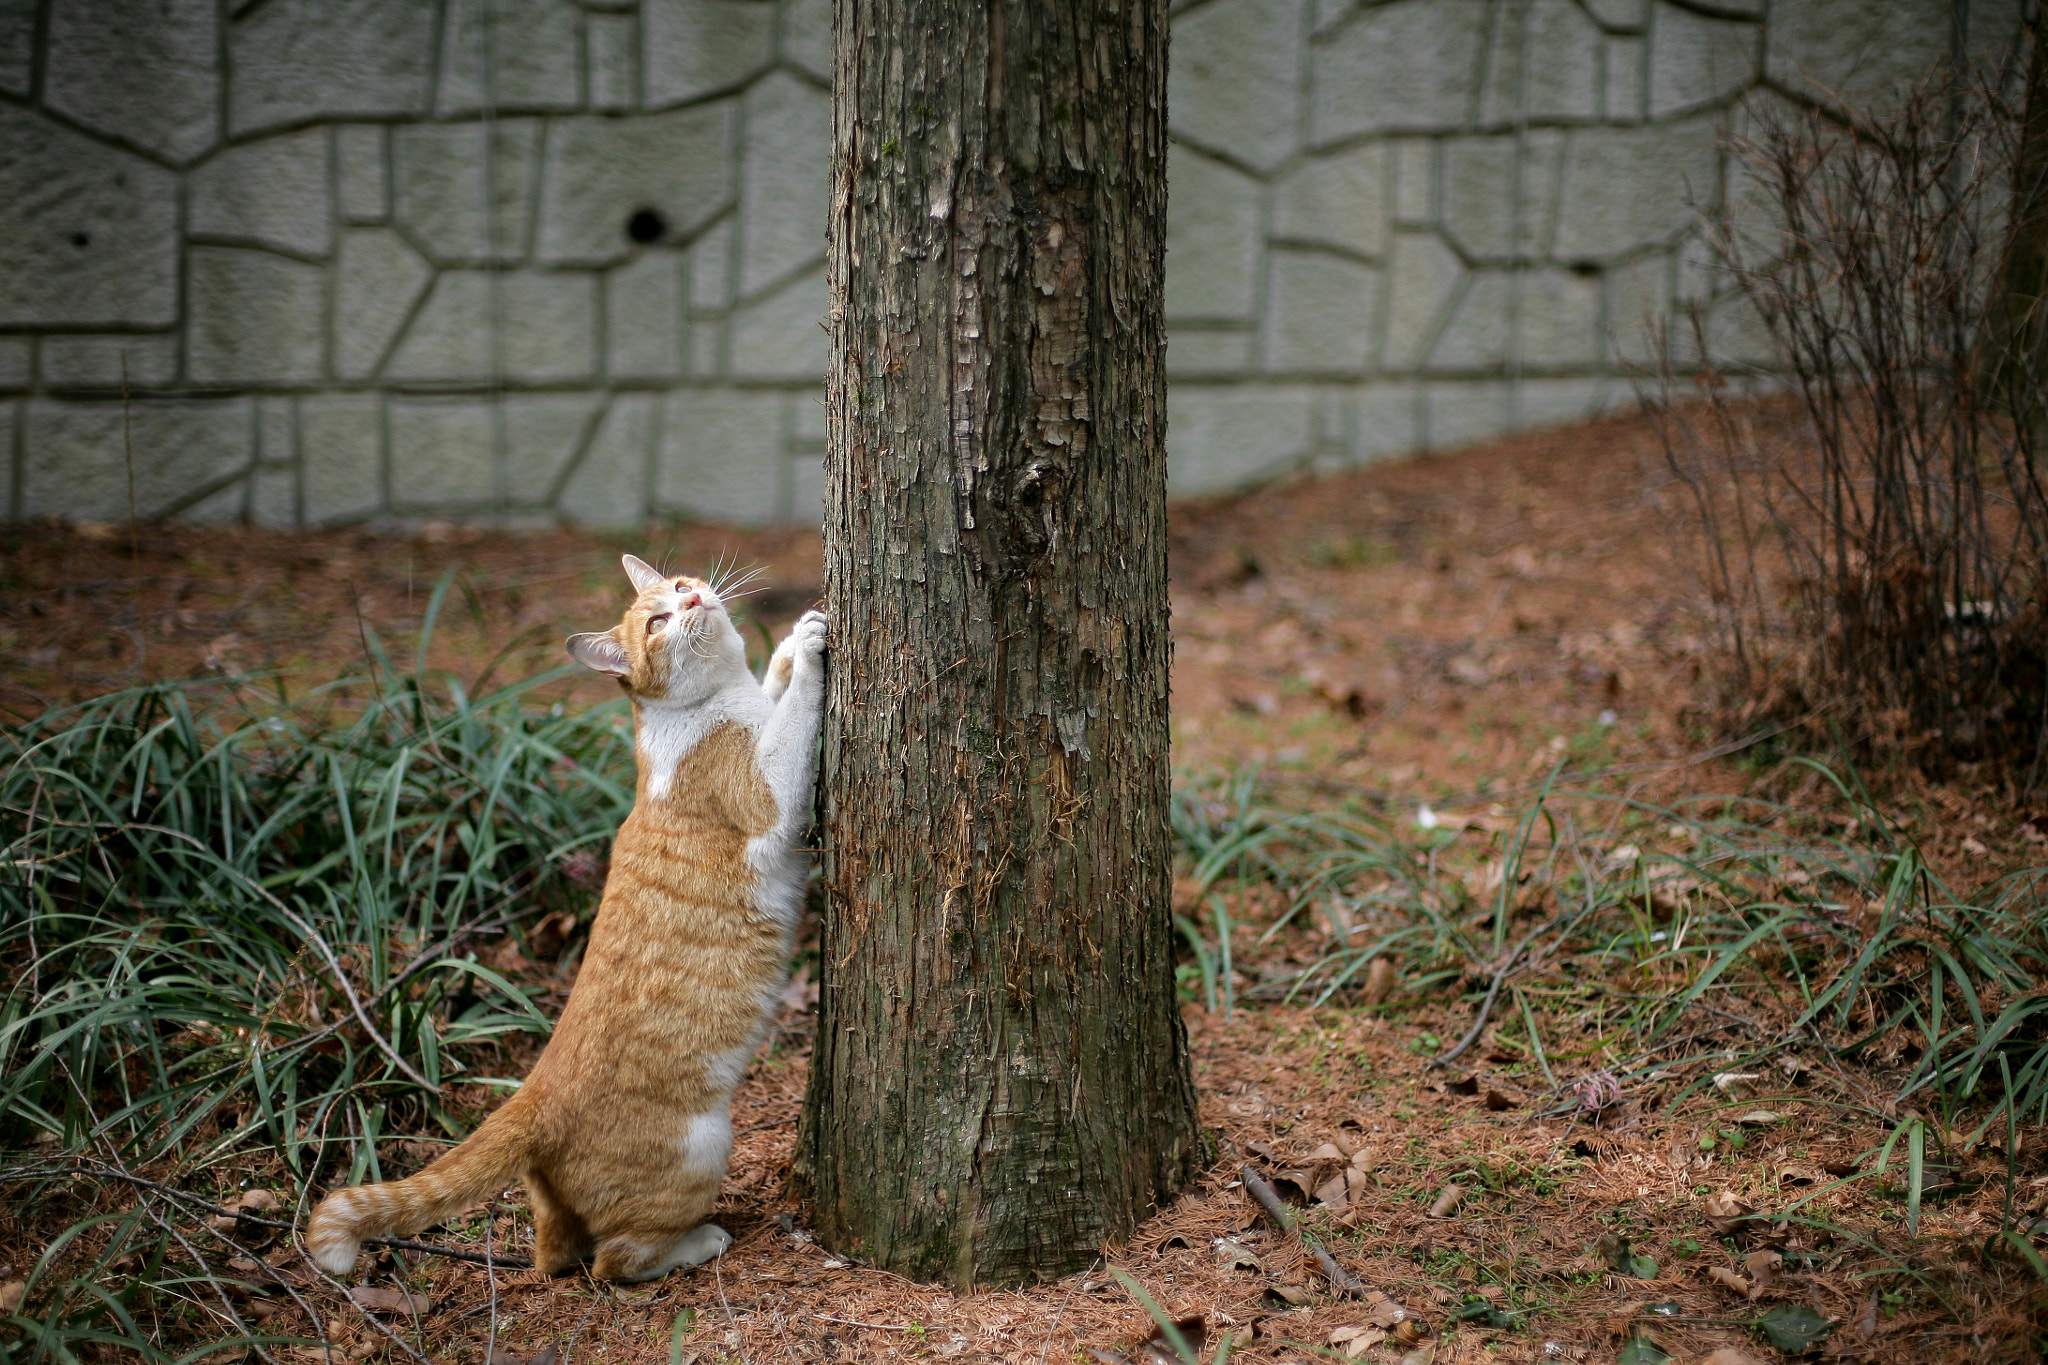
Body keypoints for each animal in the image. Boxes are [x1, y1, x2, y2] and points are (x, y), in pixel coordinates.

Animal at [311, 552, 823, 1285]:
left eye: (678, 586)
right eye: (658, 622)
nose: (693, 598)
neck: (710, 702)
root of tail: (533, 1095)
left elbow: (773, 691)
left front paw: (781, 651)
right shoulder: (771, 797)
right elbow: (793, 723)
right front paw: (806, 654)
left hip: (558, 1217)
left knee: (558, 1254)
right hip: (701, 1147)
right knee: (617, 1260)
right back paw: (700, 1242)